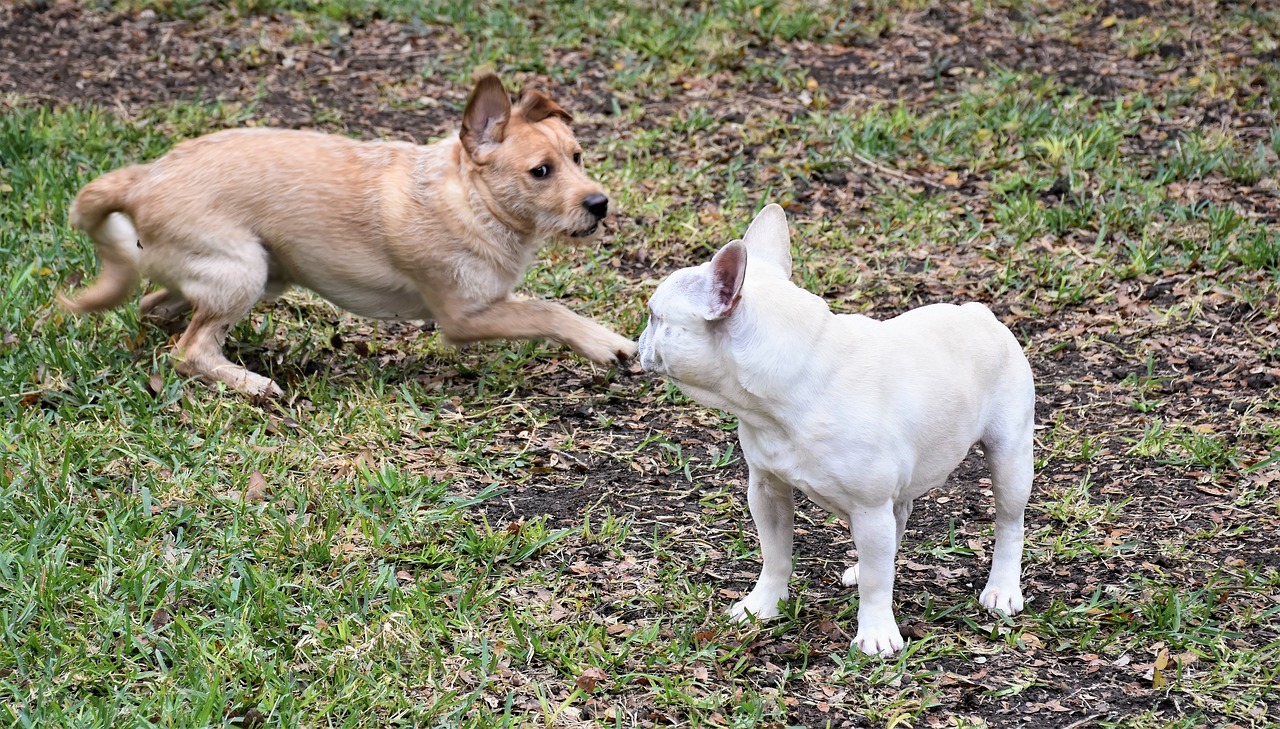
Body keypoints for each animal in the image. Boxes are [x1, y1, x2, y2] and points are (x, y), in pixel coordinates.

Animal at [61, 70, 640, 393]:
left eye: (577, 157)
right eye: (541, 171)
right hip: (244, 271)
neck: (471, 202)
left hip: (258, 275)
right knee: (190, 350)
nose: (600, 204)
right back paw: (251, 383)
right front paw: (608, 344)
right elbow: (548, 310)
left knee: (155, 310)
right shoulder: (463, 318)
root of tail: (142, 179)